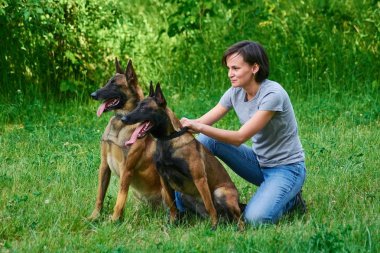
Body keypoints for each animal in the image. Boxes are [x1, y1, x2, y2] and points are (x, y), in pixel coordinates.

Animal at [88, 59, 162, 221]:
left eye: (115, 85)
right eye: (107, 82)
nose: (93, 94)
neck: (120, 123)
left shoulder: (126, 169)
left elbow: (120, 198)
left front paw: (114, 220)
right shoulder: (104, 165)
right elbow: (100, 195)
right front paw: (95, 216)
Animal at [121, 83, 243, 231]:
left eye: (144, 108)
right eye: (137, 105)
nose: (123, 119)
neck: (168, 139)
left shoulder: (199, 178)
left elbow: (210, 206)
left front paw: (214, 227)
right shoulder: (164, 180)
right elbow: (172, 205)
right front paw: (173, 223)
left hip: (220, 193)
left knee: (239, 218)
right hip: (185, 195)